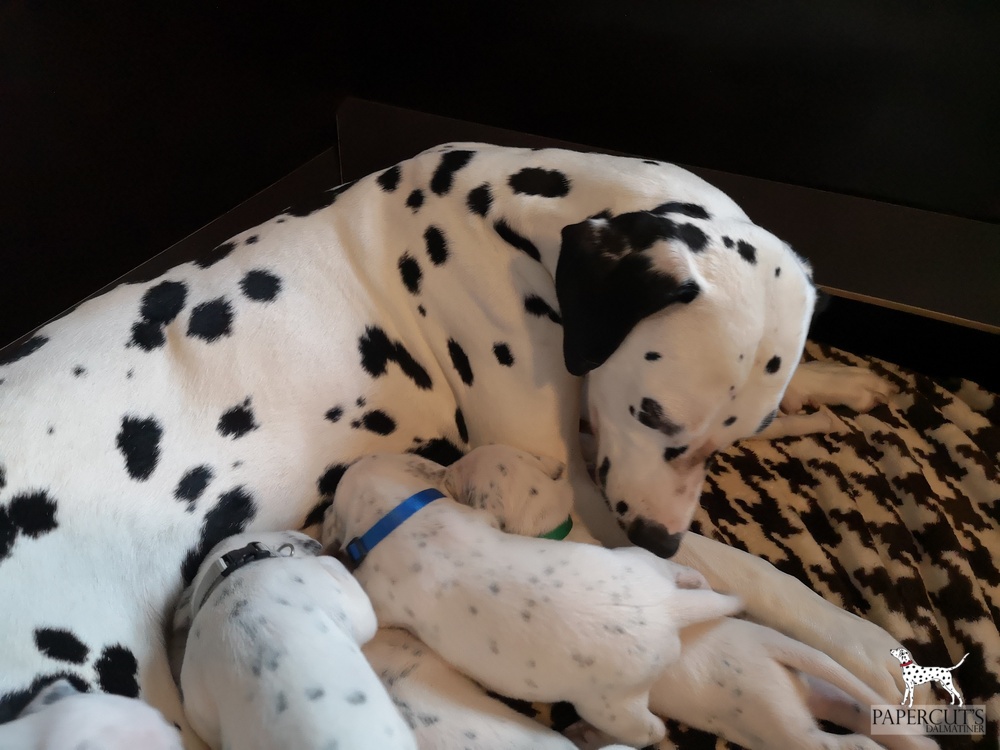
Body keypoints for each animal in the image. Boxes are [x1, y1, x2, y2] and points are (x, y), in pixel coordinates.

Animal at [321, 452, 743, 747]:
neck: (401, 515)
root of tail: (670, 609)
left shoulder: (380, 595)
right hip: (639, 561)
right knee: (677, 572)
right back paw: (694, 581)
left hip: (610, 704)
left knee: (650, 731)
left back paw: (590, 736)